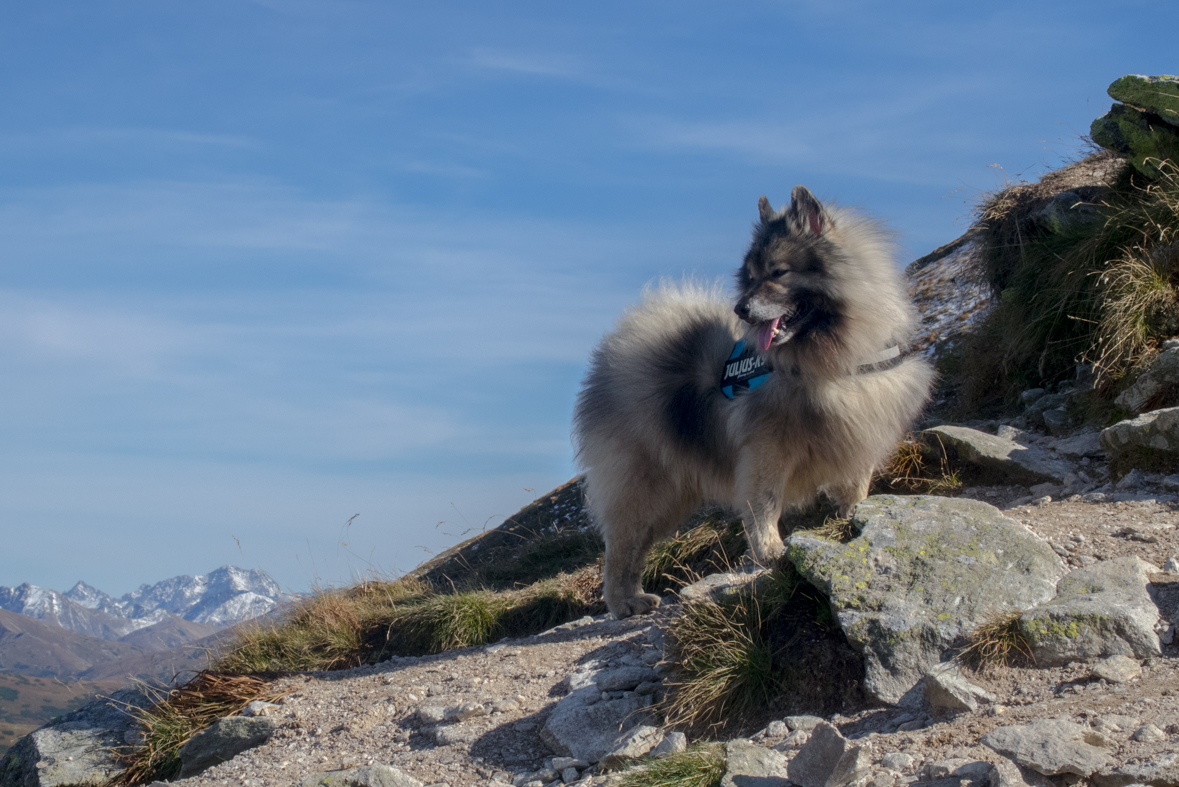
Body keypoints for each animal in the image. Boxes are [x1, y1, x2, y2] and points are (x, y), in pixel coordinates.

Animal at [570, 186, 929, 622]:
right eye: (752, 277)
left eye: (778, 272)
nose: (740, 308)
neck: (831, 362)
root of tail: (614, 358)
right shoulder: (767, 448)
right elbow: (764, 503)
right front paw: (771, 550)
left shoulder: (859, 436)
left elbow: (855, 490)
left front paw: (853, 523)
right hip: (643, 486)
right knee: (621, 547)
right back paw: (624, 602)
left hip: (672, 495)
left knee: (636, 546)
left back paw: (634, 599)